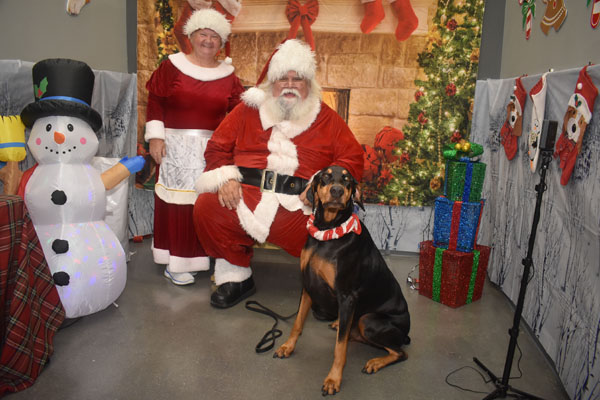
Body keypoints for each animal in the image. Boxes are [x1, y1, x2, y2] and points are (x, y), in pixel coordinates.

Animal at [274, 165, 410, 394]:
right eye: (325, 176)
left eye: (347, 180)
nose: (336, 191)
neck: (328, 229)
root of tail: (407, 331)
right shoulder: (307, 285)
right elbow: (298, 322)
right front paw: (287, 347)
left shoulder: (347, 297)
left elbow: (339, 348)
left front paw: (333, 379)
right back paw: (339, 324)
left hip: (368, 320)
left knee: (400, 352)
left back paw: (375, 362)